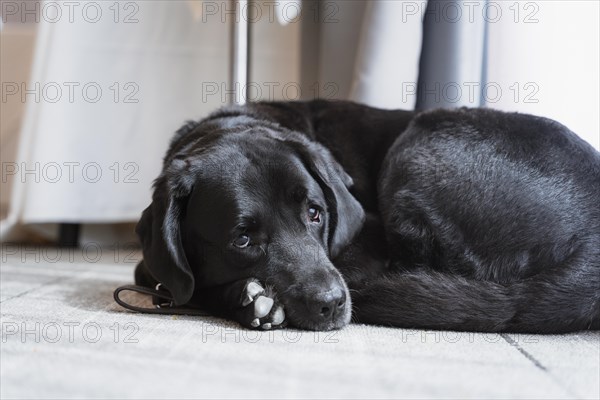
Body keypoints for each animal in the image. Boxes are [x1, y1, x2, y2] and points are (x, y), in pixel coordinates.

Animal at [135, 100, 600, 332]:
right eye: (242, 239)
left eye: (315, 213)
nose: (331, 304)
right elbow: (171, 280)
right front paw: (249, 298)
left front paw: (252, 299)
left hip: (418, 141)